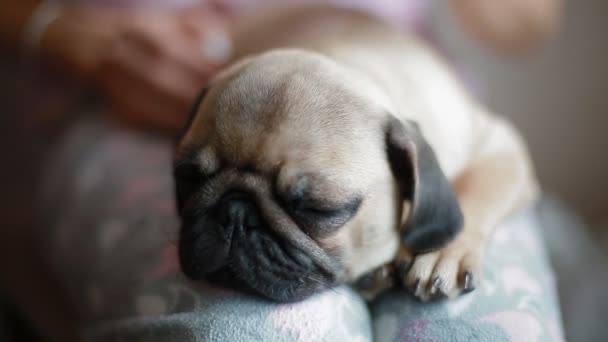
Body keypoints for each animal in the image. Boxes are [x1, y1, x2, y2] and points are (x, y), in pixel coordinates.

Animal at [171, 5, 536, 302]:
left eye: (319, 209)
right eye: (186, 179)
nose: (234, 212)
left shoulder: (499, 145)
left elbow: (478, 194)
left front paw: (441, 253)